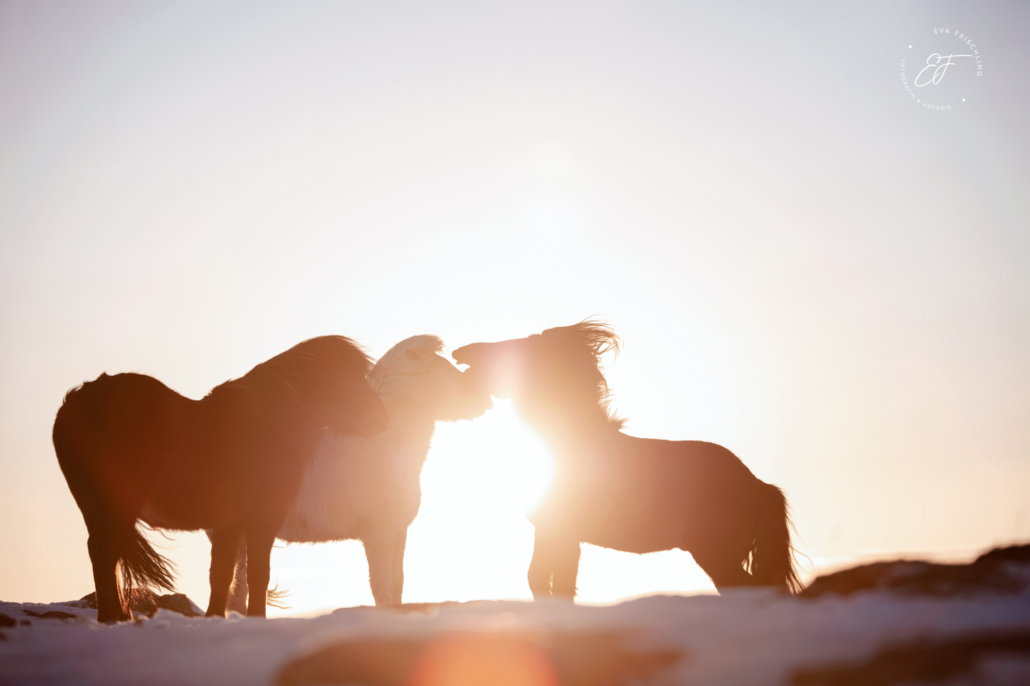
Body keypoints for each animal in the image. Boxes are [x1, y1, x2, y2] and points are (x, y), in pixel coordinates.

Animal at [51, 335, 387, 618]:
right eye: (353, 380)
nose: (380, 418)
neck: (268, 424)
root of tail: (73, 405)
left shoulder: (230, 525)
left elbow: (223, 576)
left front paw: (216, 618)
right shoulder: (262, 519)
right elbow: (256, 575)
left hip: (94, 509)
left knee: (102, 554)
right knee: (106, 553)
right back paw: (115, 619)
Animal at [219, 333, 492, 605]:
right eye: (445, 370)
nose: (484, 400)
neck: (383, 448)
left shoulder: (398, 532)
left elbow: (397, 587)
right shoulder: (377, 534)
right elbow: (383, 590)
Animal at [453, 323, 803, 597]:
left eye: (520, 346)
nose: (461, 351)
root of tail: (759, 485)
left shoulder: (559, 531)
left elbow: (547, 581)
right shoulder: (557, 534)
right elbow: (552, 582)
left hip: (715, 553)